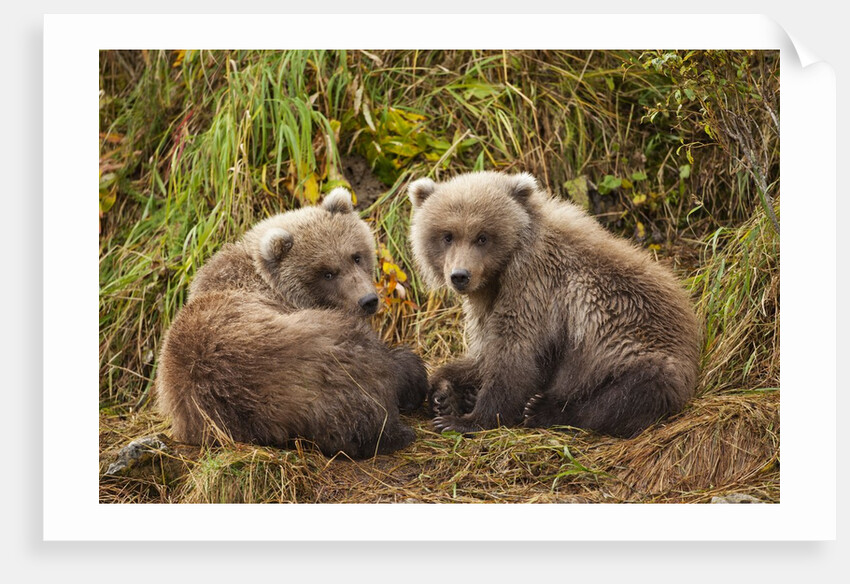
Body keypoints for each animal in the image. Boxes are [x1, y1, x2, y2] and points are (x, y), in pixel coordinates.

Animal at [407, 171, 700, 438]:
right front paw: (445, 393)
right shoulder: (487, 301)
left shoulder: (533, 286)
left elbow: (514, 352)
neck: (503, 270)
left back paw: (542, 409)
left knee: (625, 396)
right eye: (447, 235)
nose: (460, 275)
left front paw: (465, 419)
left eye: (482, 236)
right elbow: (483, 353)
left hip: (638, 353)